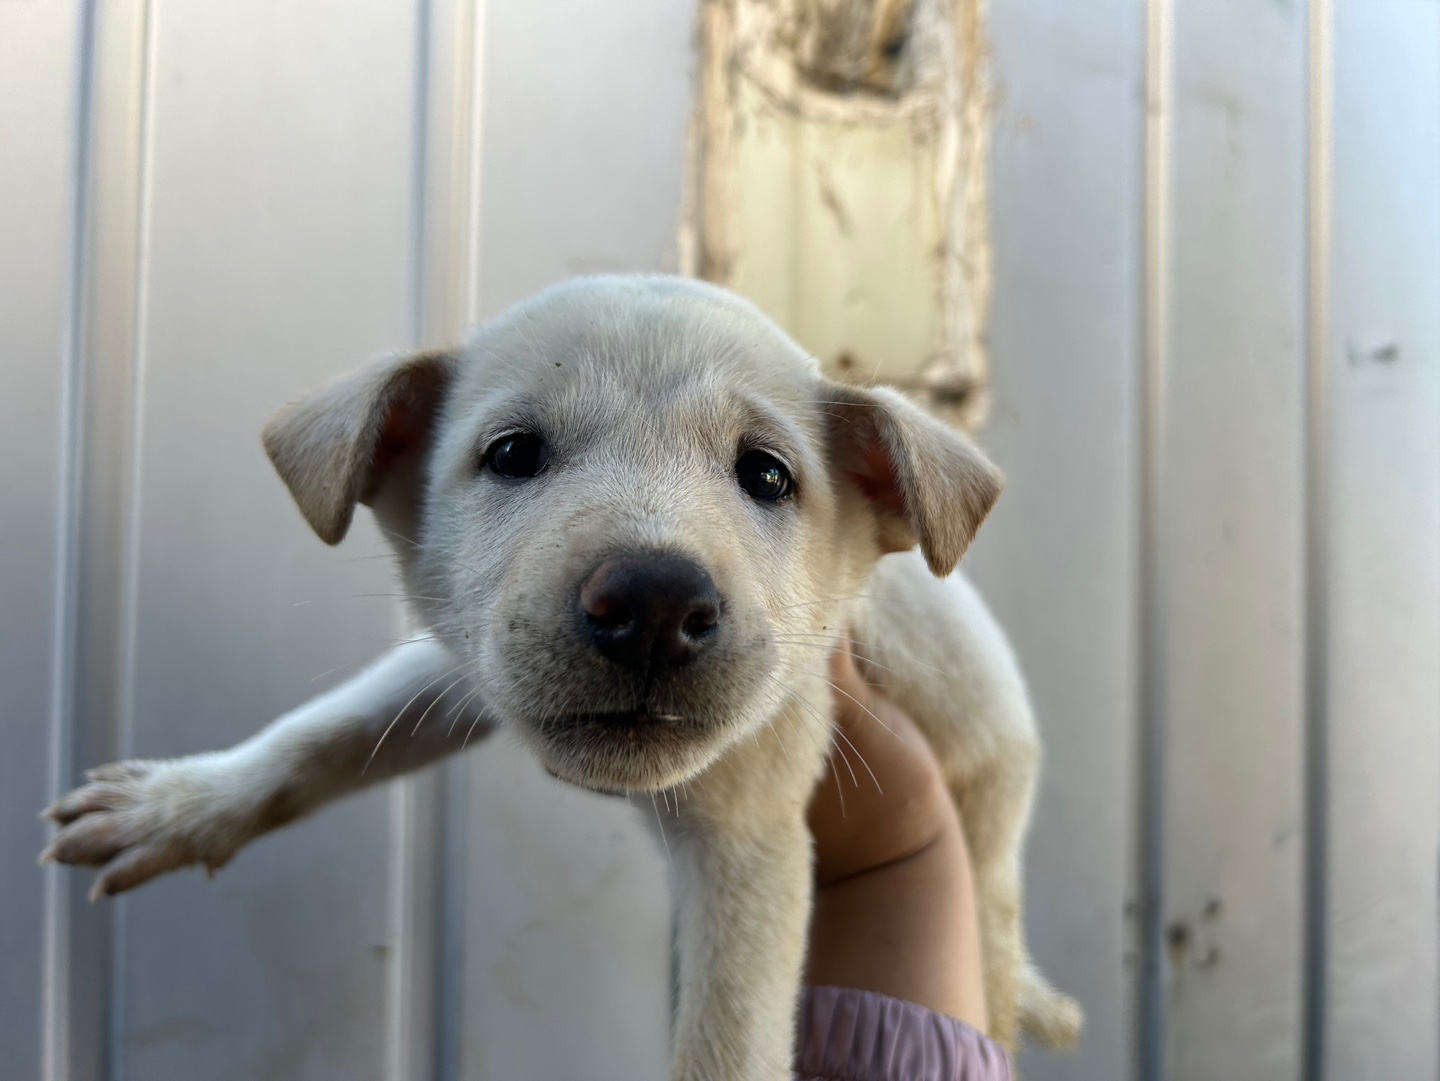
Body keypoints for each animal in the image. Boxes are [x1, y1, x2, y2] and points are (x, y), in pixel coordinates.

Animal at [42, 276, 1082, 1076]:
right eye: (512, 453)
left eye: (768, 475)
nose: (654, 603)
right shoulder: (462, 666)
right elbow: (327, 733)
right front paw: (180, 804)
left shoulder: (752, 832)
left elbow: (726, 1042)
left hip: (993, 805)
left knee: (994, 916)